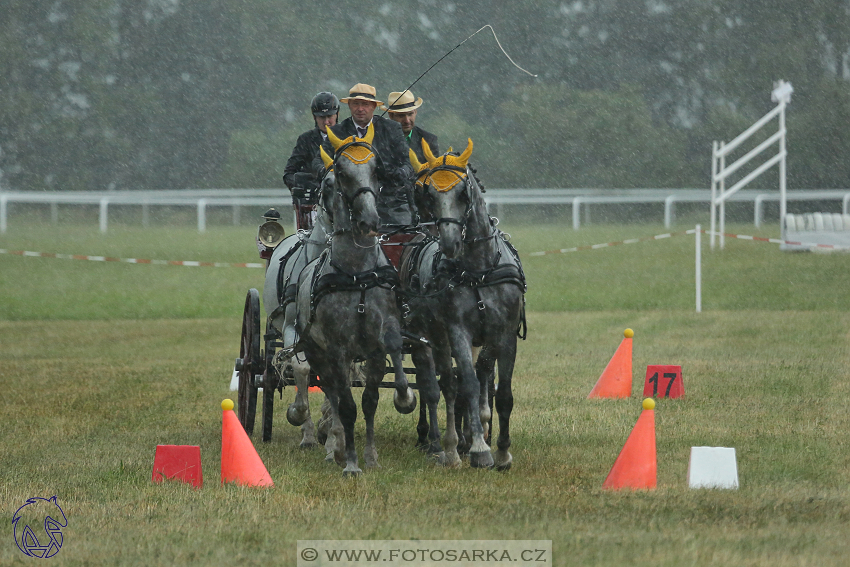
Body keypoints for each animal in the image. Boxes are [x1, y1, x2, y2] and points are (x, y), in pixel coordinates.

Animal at [294, 126, 438, 478]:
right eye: (341, 174)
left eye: (376, 170)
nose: (370, 220)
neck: (357, 274)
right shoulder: (336, 349)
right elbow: (346, 405)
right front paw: (351, 462)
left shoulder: (376, 346)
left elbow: (371, 400)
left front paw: (371, 457)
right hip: (318, 353)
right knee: (331, 393)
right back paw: (333, 444)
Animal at [402, 141, 524, 470]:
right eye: (429, 194)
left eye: (462, 193)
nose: (449, 243)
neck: (479, 270)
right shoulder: (457, 330)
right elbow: (466, 383)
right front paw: (480, 449)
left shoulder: (503, 332)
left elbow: (500, 390)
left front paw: (502, 452)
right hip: (431, 336)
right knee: (441, 384)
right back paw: (444, 444)